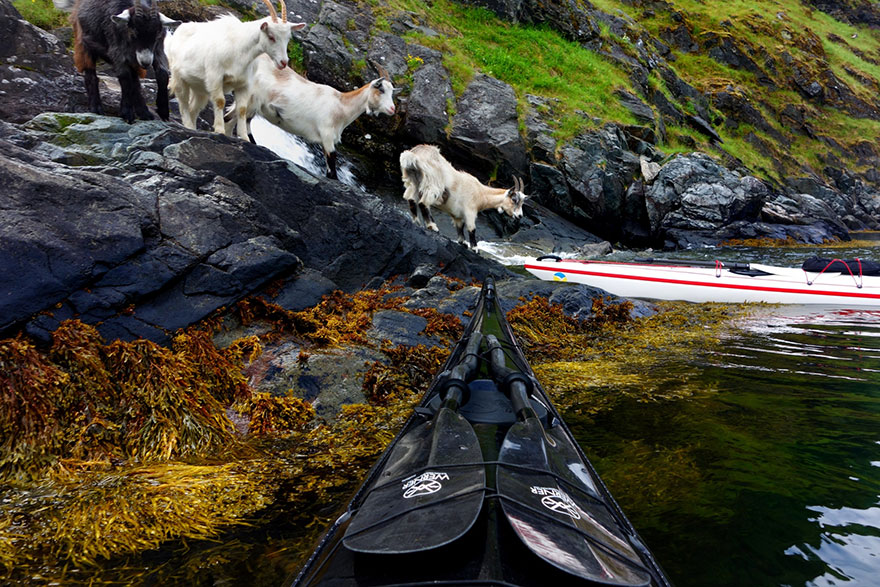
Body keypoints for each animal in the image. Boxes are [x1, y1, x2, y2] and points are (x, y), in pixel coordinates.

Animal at [165, 0, 306, 138]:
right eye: (271, 36)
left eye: (288, 38)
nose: (283, 62)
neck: (239, 49)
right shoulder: (215, 76)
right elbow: (220, 101)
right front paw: (220, 130)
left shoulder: (245, 84)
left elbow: (242, 109)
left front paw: (244, 137)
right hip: (179, 77)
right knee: (183, 102)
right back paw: (188, 125)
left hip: (200, 88)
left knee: (194, 108)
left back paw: (193, 128)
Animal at [225, 56, 398, 179]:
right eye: (381, 89)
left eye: (391, 91)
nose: (392, 109)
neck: (341, 105)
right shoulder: (327, 135)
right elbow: (332, 171)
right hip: (251, 99)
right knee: (235, 119)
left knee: (233, 119)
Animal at [400, 147, 528, 250]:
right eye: (514, 199)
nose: (520, 216)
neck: (481, 193)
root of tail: (414, 155)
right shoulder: (470, 210)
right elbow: (472, 229)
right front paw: (475, 248)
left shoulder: (457, 215)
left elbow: (460, 228)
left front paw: (463, 242)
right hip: (432, 184)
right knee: (423, 203)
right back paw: (433, 227)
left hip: (413, 181)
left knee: (411, 199)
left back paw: (417, 222)